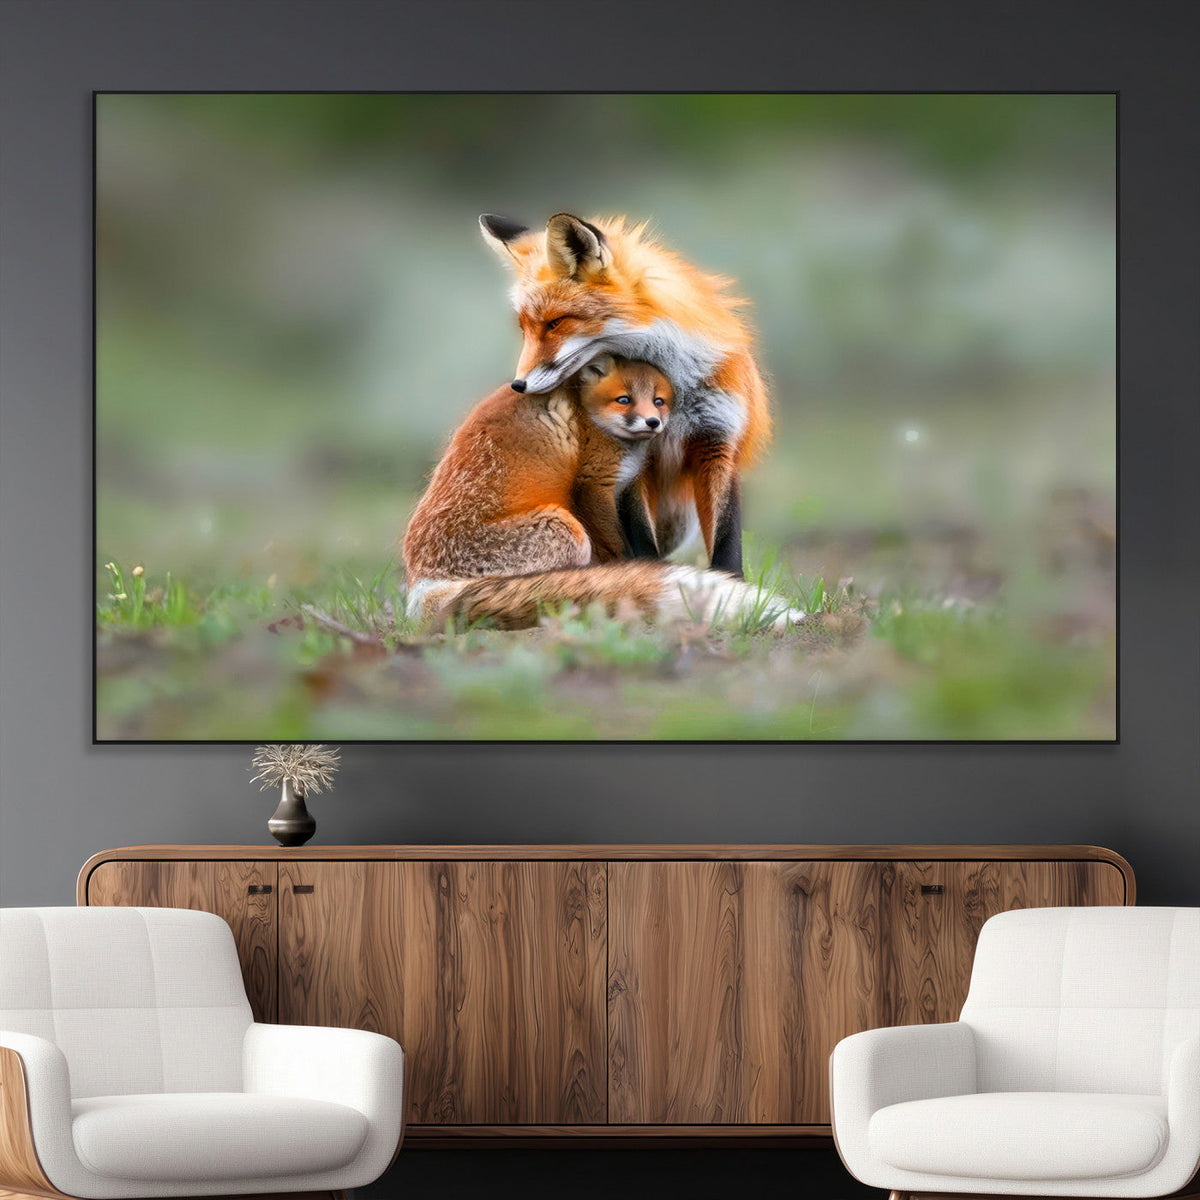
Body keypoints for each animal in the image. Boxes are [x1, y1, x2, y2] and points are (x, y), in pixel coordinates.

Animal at [479, 211, 772, 579]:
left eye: (555, 323)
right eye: (525, 329)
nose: (518, 385)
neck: (674, 390)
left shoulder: (717, 443)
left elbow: (726, 541)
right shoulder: (633, 460)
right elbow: (641, 539)